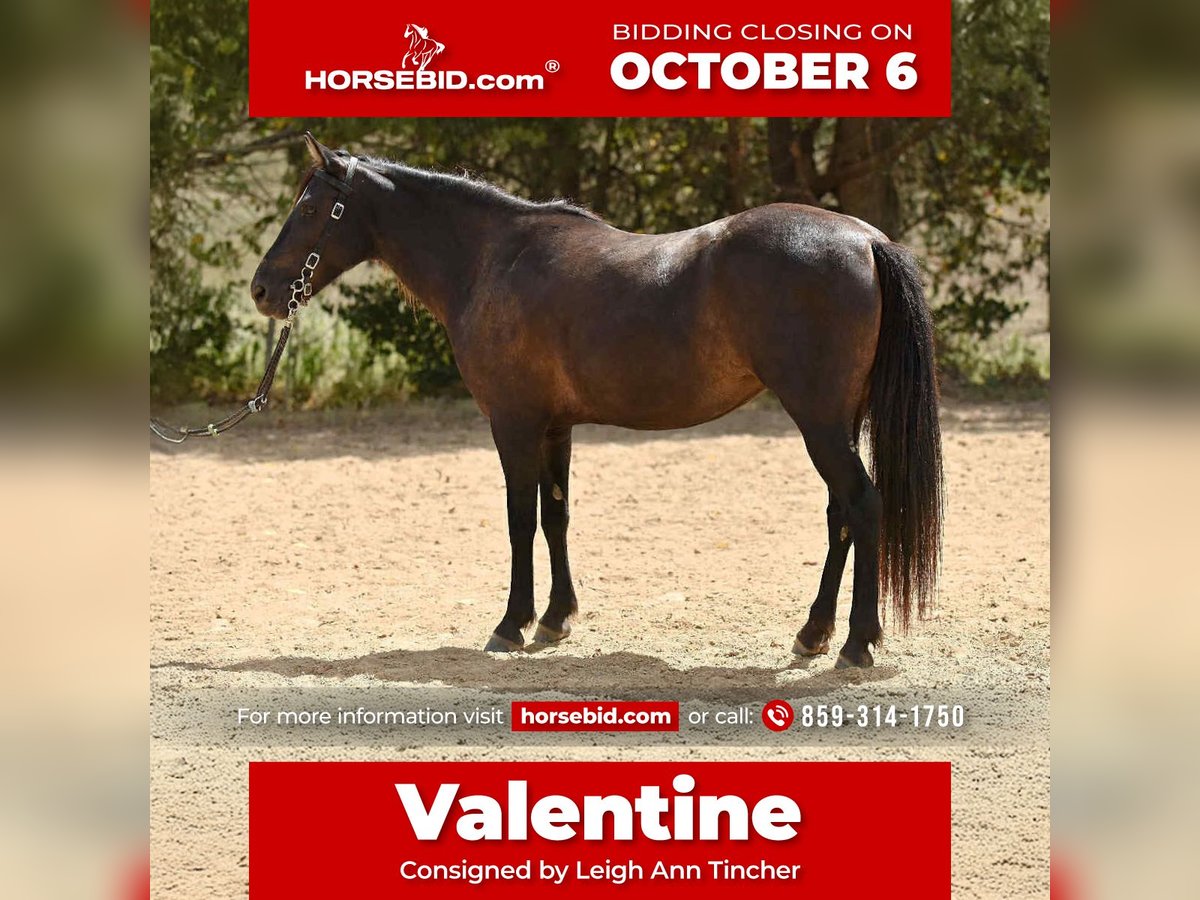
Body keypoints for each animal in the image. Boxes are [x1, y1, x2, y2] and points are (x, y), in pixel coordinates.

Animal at [250, 133, 943, 668]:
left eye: (311, 208)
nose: (261, 290)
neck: (491, 261)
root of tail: (864, 239)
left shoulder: (513, 424)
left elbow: (519, 521)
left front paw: (511, 624)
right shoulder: (555, 427)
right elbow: (555, 516)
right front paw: (555, 619)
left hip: (819, 422)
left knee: (863, 505)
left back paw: (856, 643)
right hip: (837, 421)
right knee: (840, 515)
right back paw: (813, 633)